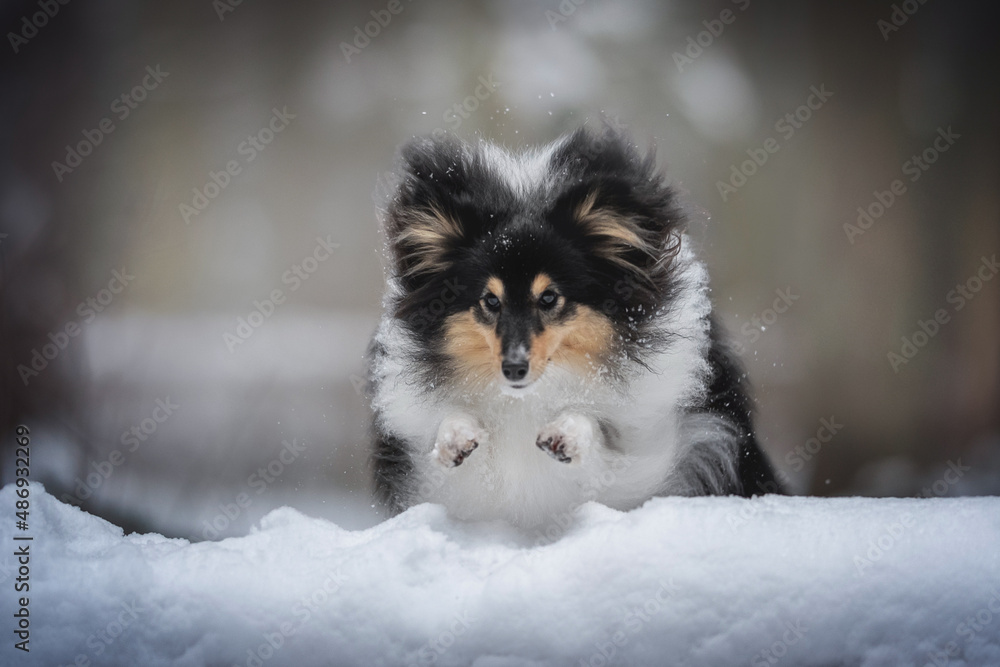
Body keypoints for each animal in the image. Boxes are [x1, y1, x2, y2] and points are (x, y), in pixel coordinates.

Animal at [368, 125, 780, 528]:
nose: (513, 368)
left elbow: (596, 432)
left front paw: (565, 434)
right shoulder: (448, 483)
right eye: (490, 301)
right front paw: (457, 437)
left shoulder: (647, 460)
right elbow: (451, 436)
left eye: (549, 297)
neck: (528, 397)